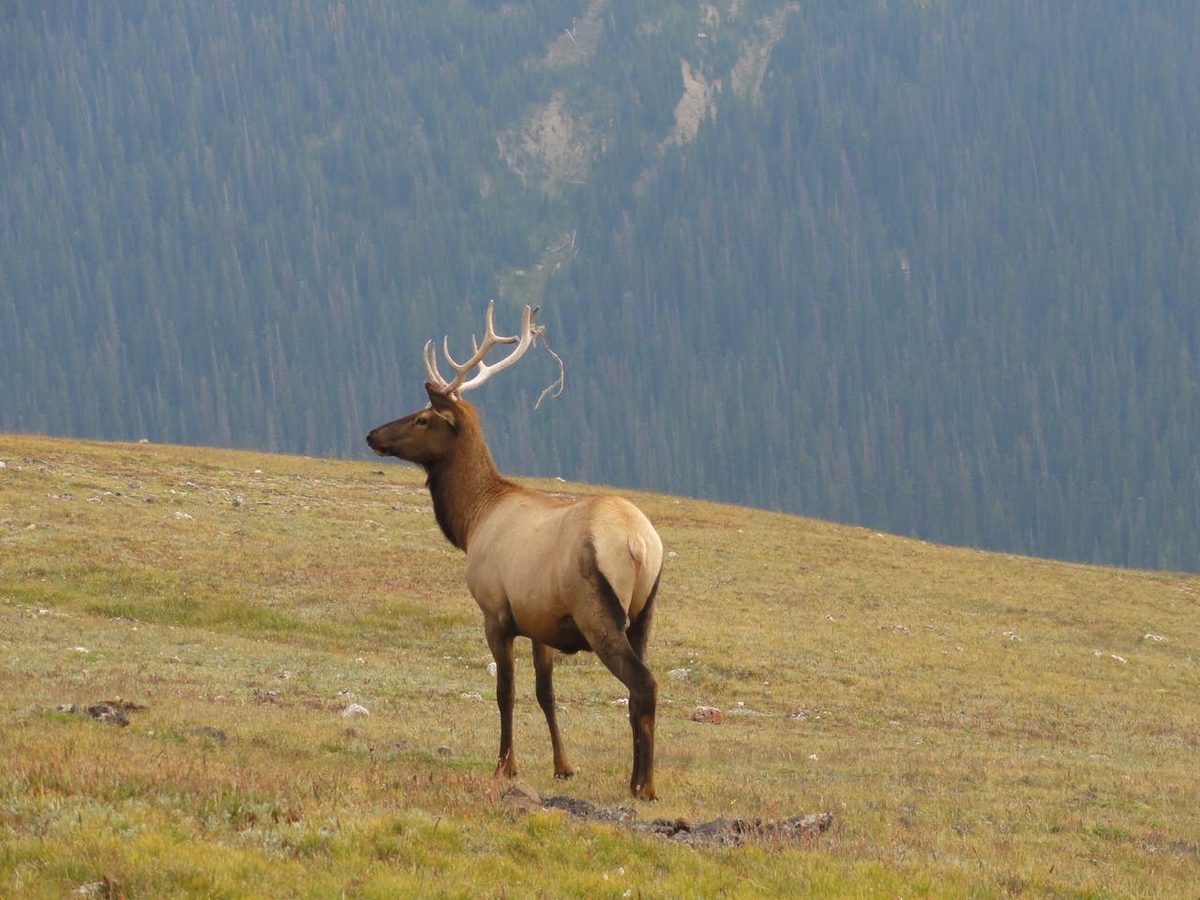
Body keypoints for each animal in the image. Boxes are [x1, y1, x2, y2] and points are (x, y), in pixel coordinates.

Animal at [366, 303, 663, 800]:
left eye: (423, 418)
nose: (372, 434)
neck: (473, 520)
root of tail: (640, 542)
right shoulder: (540, 621)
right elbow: (546, 694)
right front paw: (563, 766)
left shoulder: (496, 612)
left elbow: (505, 691)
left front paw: (505, 765)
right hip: (645, 612)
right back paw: (644, 779)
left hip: (599, 612)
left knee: (644, 684)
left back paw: (642, 784)